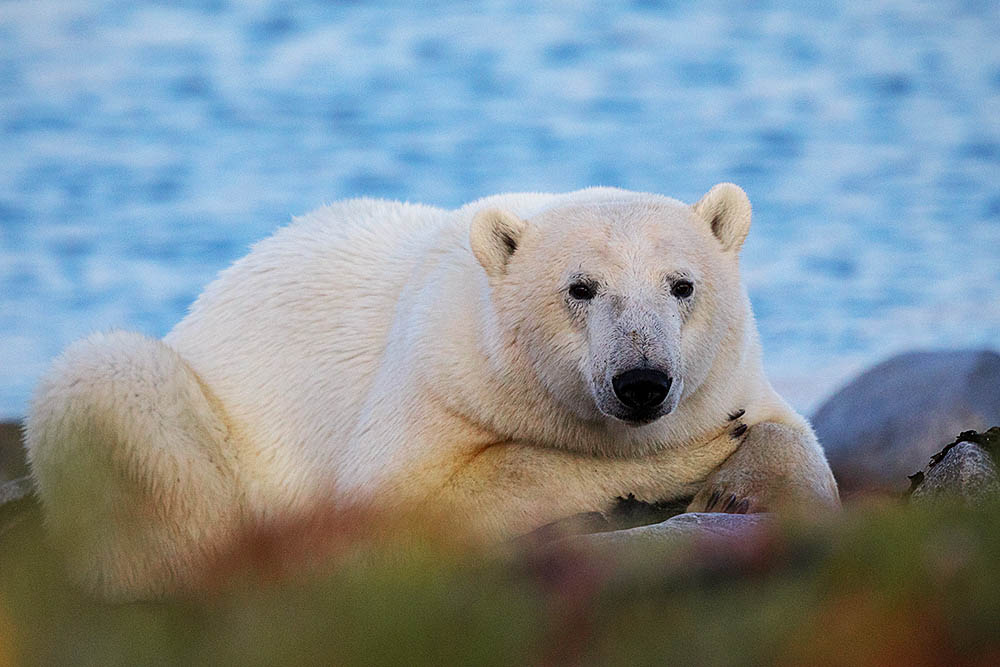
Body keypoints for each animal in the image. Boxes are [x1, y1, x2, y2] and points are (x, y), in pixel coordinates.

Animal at [23, 184, 840, 600]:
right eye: (580, 288)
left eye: (682, 285)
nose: (641, 380)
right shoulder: (437, 371)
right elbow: (404, 500)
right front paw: (676, 463)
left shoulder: (730, 372)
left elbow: (792, 434)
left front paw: (740, 489)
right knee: (108, 383)